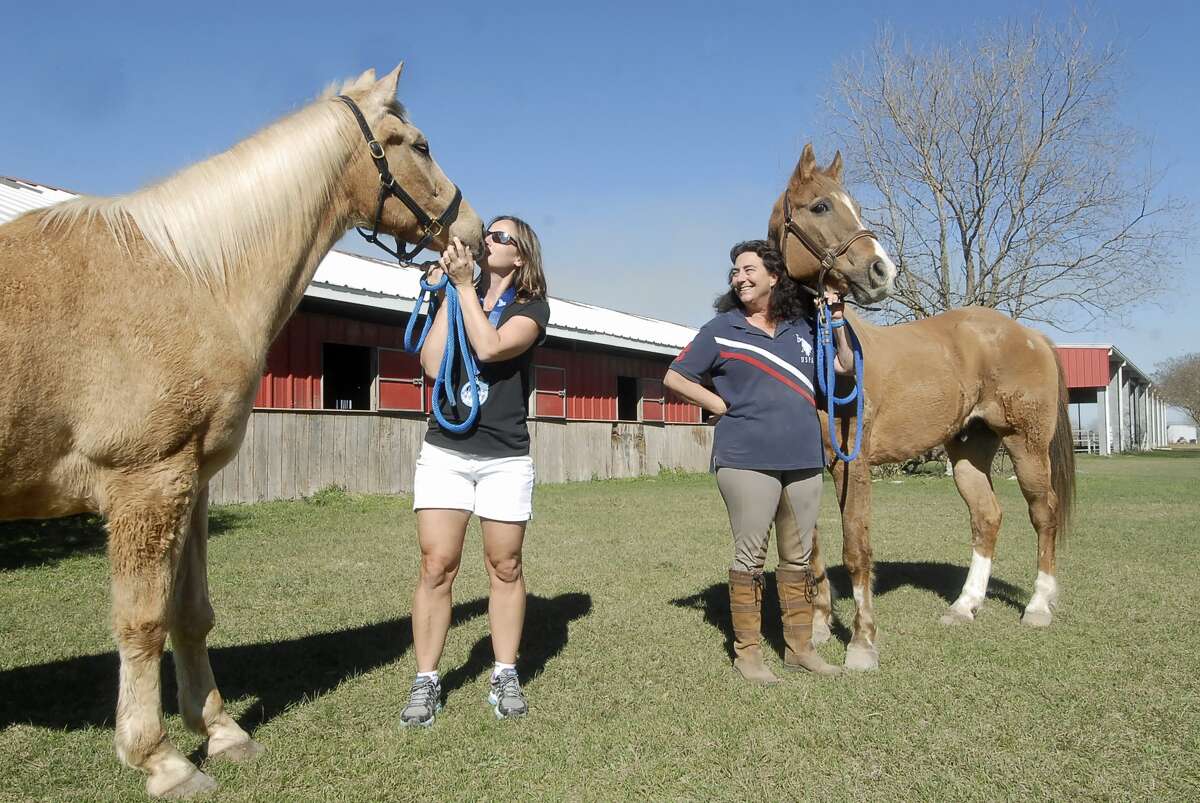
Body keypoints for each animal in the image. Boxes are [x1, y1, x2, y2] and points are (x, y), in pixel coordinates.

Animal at [0, 64, 482, 797]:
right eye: (419, 145)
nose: (476, 232)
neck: (189, 275)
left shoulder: (190, 482)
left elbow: (190, 612)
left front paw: (221, 731)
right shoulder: (145, 483)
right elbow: (141, 622)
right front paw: (160, 759)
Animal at [768, 144, 1075, 671]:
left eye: (855, 206)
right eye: (821, 206)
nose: (881, 272)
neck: (823, 360)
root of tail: (1030, 334)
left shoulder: (853, 465)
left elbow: (856, 547)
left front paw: (862, 644)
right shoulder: (806, 467)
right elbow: (810, 547)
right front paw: (820, 628)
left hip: (1026, 446)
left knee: (1044, 513)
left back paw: (1038, 606)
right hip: (969, 451)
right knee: (987, 517)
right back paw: (964, 607)